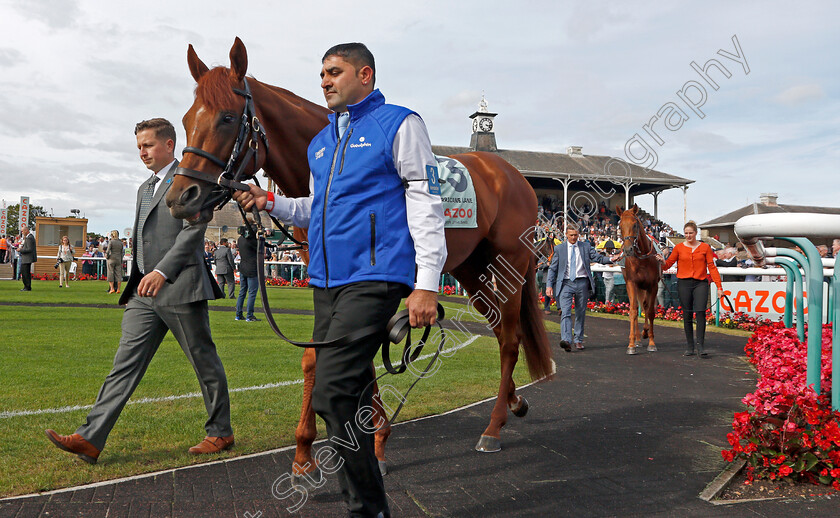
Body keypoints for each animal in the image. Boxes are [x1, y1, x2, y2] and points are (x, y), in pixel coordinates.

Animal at [166, 38, 552, 480]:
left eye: (228, 117)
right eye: (187, 119)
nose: (180, 198)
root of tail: (511, 173)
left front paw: (346, 446)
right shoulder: (329, 280)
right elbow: (329, 357)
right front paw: (342, 445)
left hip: (511, 264)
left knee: (510, 338)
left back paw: (493, 426)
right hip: (472, 270)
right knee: (503, 331)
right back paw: (514, 402)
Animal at [616, 205, 664, 356]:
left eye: (635, 224)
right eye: (620, 225)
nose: (628, 249)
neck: (642, 260)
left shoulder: (653, 285)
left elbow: (650, 312)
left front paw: (651, 342)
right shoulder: (632, 283)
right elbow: (632, 311)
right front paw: (631, 345)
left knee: (645, 306)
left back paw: (644, 332)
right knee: (638, 307)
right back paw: (637, 338)